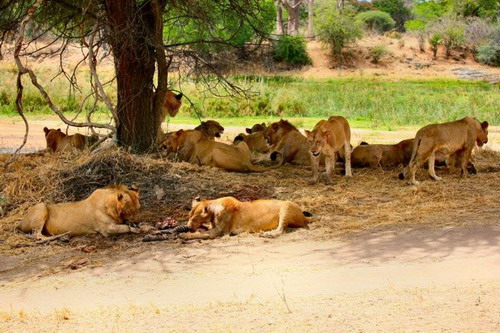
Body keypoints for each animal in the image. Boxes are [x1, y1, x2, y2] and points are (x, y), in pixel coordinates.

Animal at [180, 195, 312, 239]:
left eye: (194, 219)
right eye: (188, 217)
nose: (188, 226)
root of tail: (304, 216)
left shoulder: (219, 232)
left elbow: (200, 233)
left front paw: (184, 235)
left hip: (286, 206)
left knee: (281, 230)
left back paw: (268, 235)